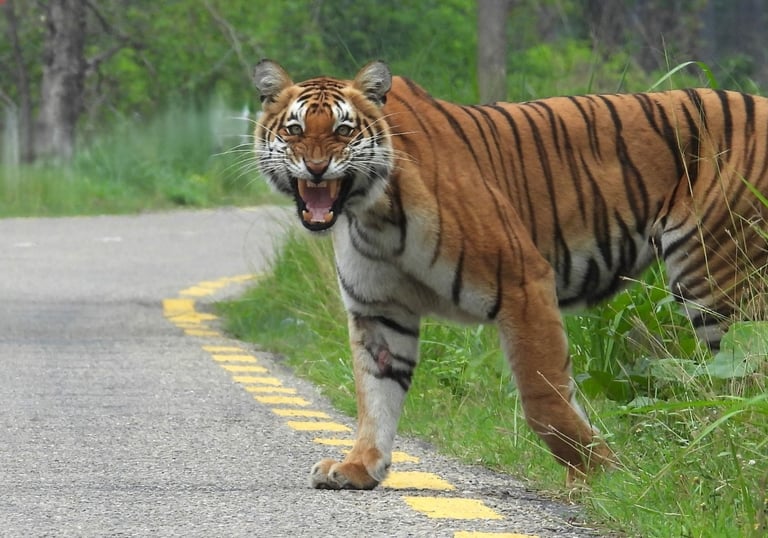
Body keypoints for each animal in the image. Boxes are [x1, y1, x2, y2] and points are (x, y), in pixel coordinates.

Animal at [252, 59, 767, 489]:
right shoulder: (379, 310)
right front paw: (358, 467)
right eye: (295, 129)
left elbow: (544, 400)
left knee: (746, 373)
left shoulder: (522, 282)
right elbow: (375, 397)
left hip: (716, 275)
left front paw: (601, 476)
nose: (317, 167)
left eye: (343, 129)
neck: (369, 212)